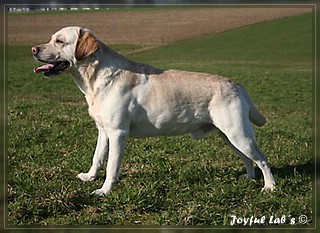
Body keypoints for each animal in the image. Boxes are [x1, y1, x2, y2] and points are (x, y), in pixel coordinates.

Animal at [31, 26, 276, 196]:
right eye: (51, 38)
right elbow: (97, 157)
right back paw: (249, 178)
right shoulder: (103, 130)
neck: (96, 78)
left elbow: (111, 166)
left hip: (238, 134)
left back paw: (270, 187)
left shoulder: (118, 133)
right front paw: (90, 177)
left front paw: (104, 191)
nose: (33, 49)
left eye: (59, 41)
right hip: (229, 136)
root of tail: (236, 84)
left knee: (262, 159)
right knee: (248, 159)